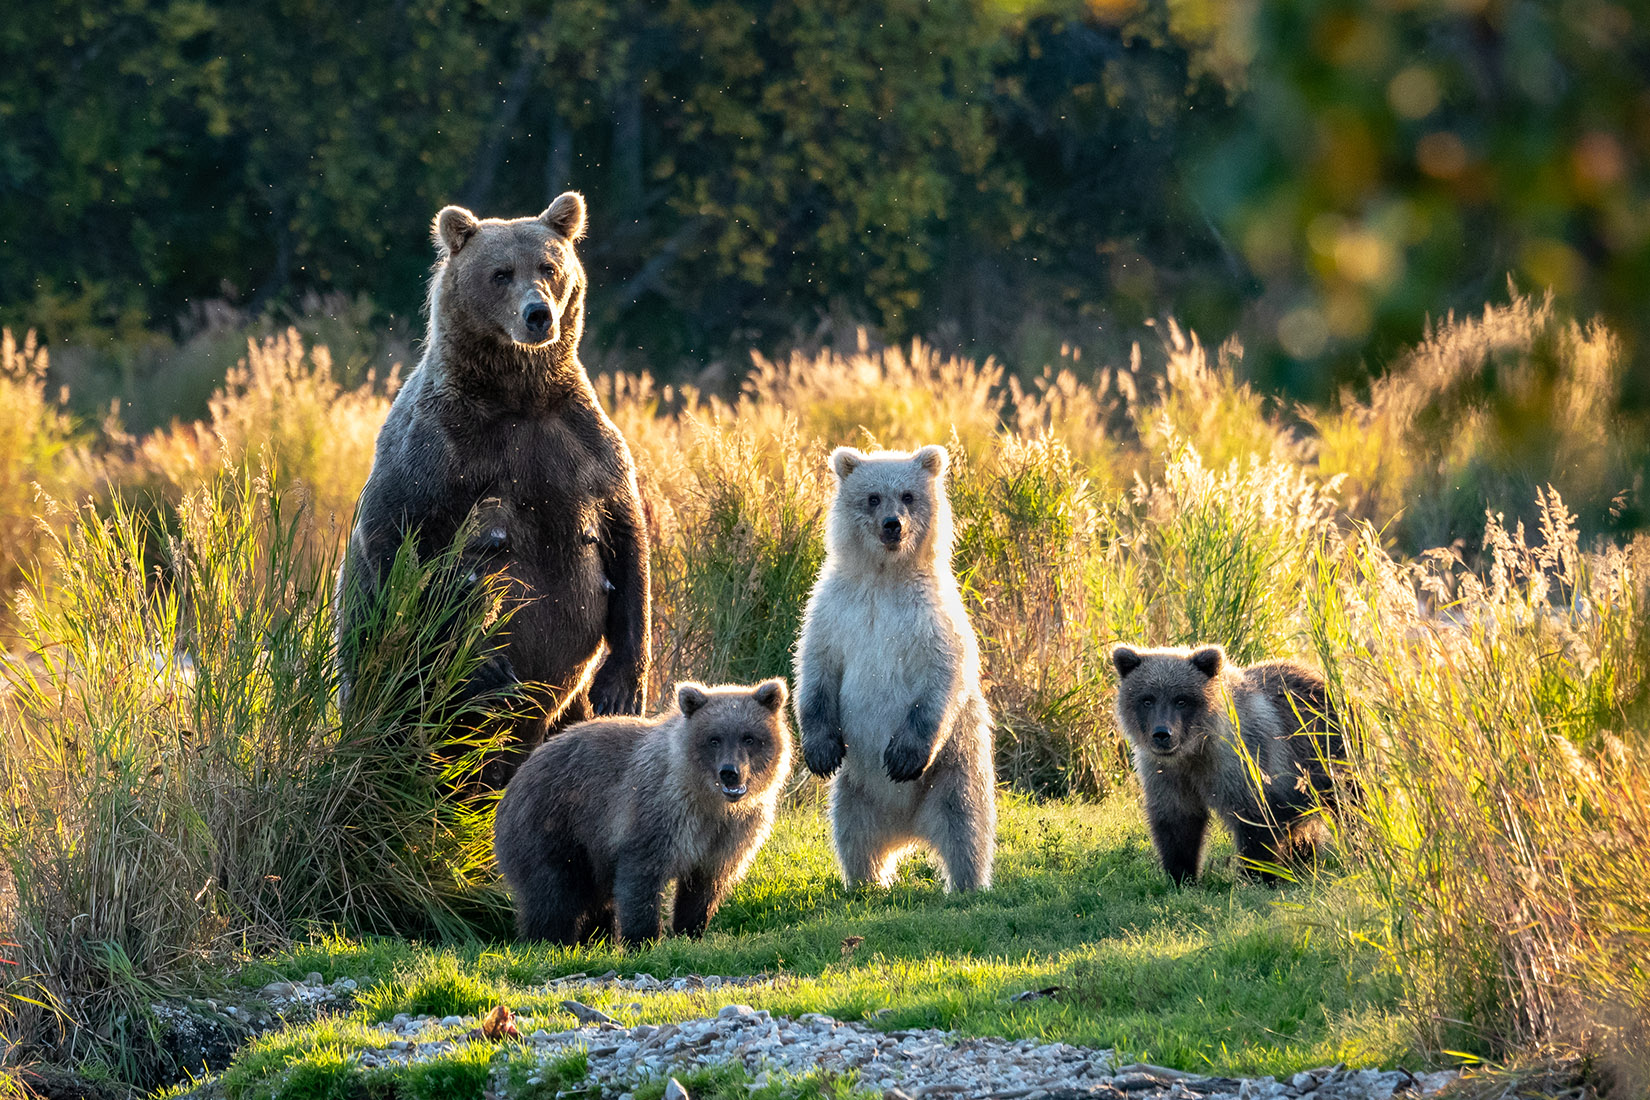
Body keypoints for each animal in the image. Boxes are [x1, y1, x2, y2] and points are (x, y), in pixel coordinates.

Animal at [336, 189, 650, 778]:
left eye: (549, 267)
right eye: (501, 273)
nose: (538, 314)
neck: (518, 396)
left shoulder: (581, 443)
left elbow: (627, 539)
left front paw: (621, 685)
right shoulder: (439, 450)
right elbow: (397, 537)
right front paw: (483, 666)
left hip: (565, 711)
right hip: (386, 687)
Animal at [488, 679, 792, 949]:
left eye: (749, 737)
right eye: (714, 739)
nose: (730, 772)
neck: (709, 801)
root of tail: (515, 780)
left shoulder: (729, 835)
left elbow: (703, 888)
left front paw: (690, 932)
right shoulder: (658, 815)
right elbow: (641, 878)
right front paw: (644, 940)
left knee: (594, 898)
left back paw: (596, 940)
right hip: (552, 824)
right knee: (553, 893)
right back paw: (549, 941)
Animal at [1108, 646, 1339, 883]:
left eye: (1181, 700)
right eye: (1147, 699)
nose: (1162, 734)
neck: (1194, 751)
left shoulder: (1241, 762)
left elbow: (1255, 820)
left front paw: (1259, 875)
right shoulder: (1166, 772)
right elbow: (1178, 821)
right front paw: (1181, 875)